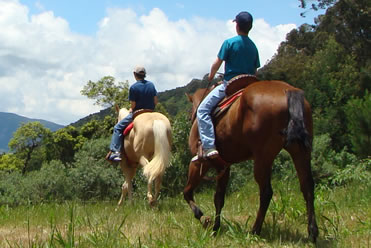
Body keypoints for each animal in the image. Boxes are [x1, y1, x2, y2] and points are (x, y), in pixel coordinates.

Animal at [183, 77, 320, 242]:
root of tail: (288, 91)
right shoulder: (224, 166)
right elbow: (219, 198)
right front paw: (216, 227)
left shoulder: (199, 162)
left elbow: (187, 192)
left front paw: (204, 218)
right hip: (300, 152)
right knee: (307, 187)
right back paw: (312, 232)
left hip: (263, 157)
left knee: (266, 192)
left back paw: (255, 230)